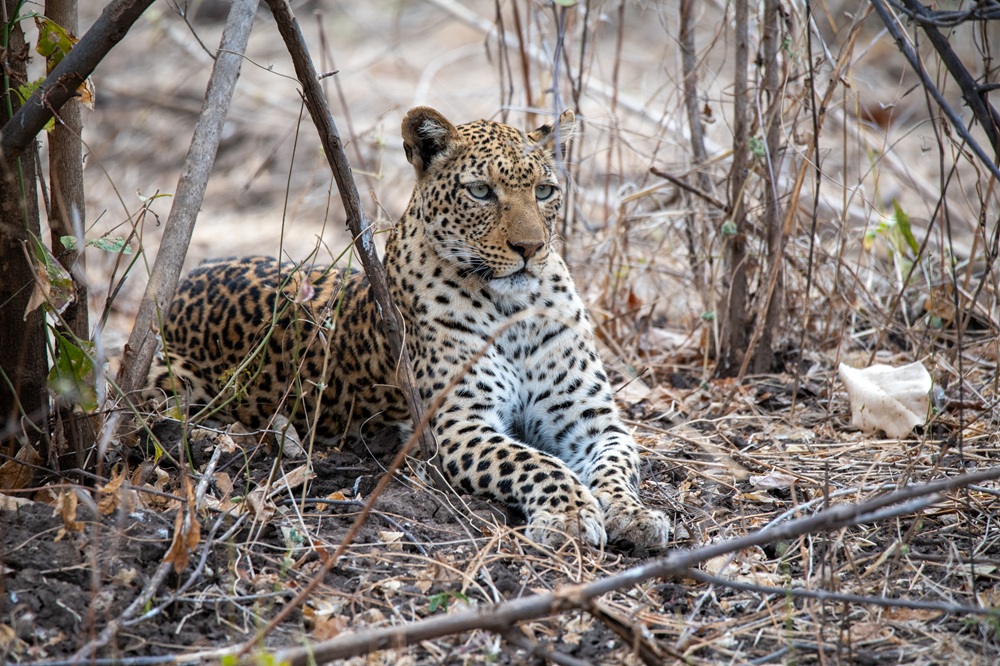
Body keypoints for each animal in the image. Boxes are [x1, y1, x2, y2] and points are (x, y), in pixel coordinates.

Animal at [148, 106, 672, 552]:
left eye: (544, 191)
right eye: (481, 192)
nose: (530, 248)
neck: (513, 309)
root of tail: (189, 277)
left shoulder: (590, 418)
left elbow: (618, 462)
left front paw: (633, 514)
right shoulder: (457, 426)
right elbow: (537, 461)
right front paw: (569, 515)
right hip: (171, 387)